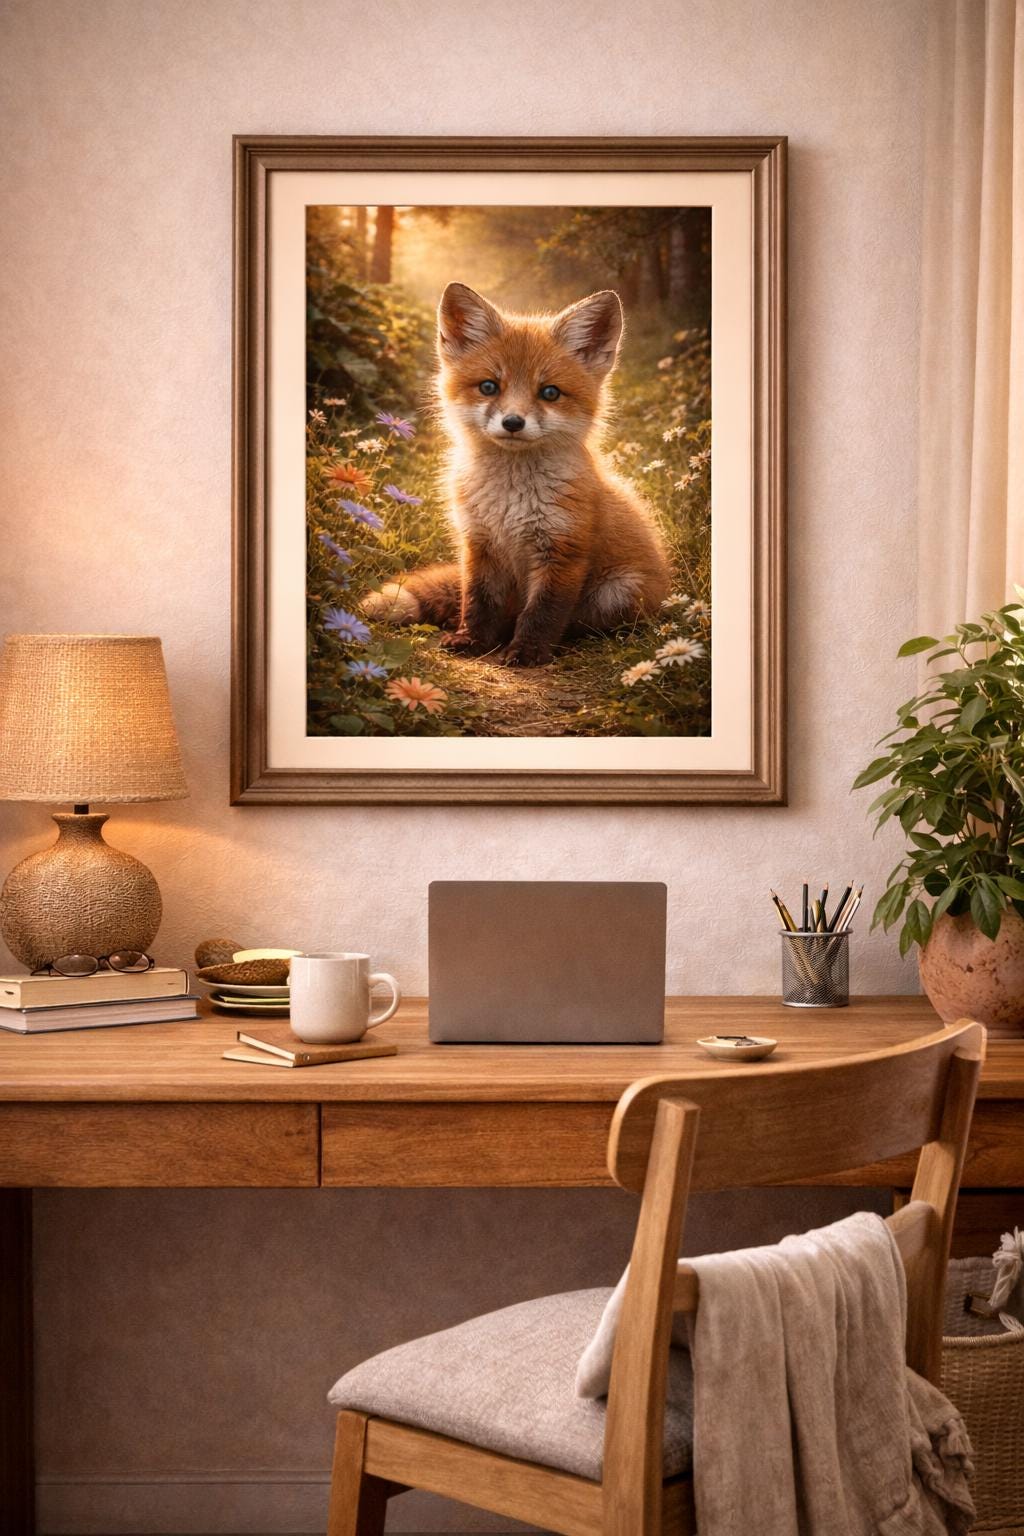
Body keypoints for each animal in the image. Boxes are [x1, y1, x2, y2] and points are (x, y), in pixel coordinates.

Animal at [363, 282, 671, 667]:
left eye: (550, 392)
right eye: (489, 387)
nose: (512, 422)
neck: (510, 501)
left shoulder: (563, 551)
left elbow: (543, 612)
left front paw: (528, 651)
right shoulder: (479, 546)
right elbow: (477, 603)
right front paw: (472, 640)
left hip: (619, 591)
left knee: (579, 621)